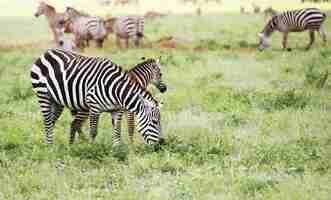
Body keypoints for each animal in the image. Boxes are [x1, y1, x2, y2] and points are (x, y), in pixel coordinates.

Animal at [30, 48, 165, 145]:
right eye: (154, 122)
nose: (162, 143)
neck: (116, 89)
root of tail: (46, 52)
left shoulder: (117, 110)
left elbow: (117, 130)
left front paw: (118, 149)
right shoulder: (95, 108)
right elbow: (94, 131)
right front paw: (91, 148)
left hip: (57, 101)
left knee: (53, 122)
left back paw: (64, 145)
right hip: (43, 94)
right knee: (49, 122)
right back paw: (51, 147)